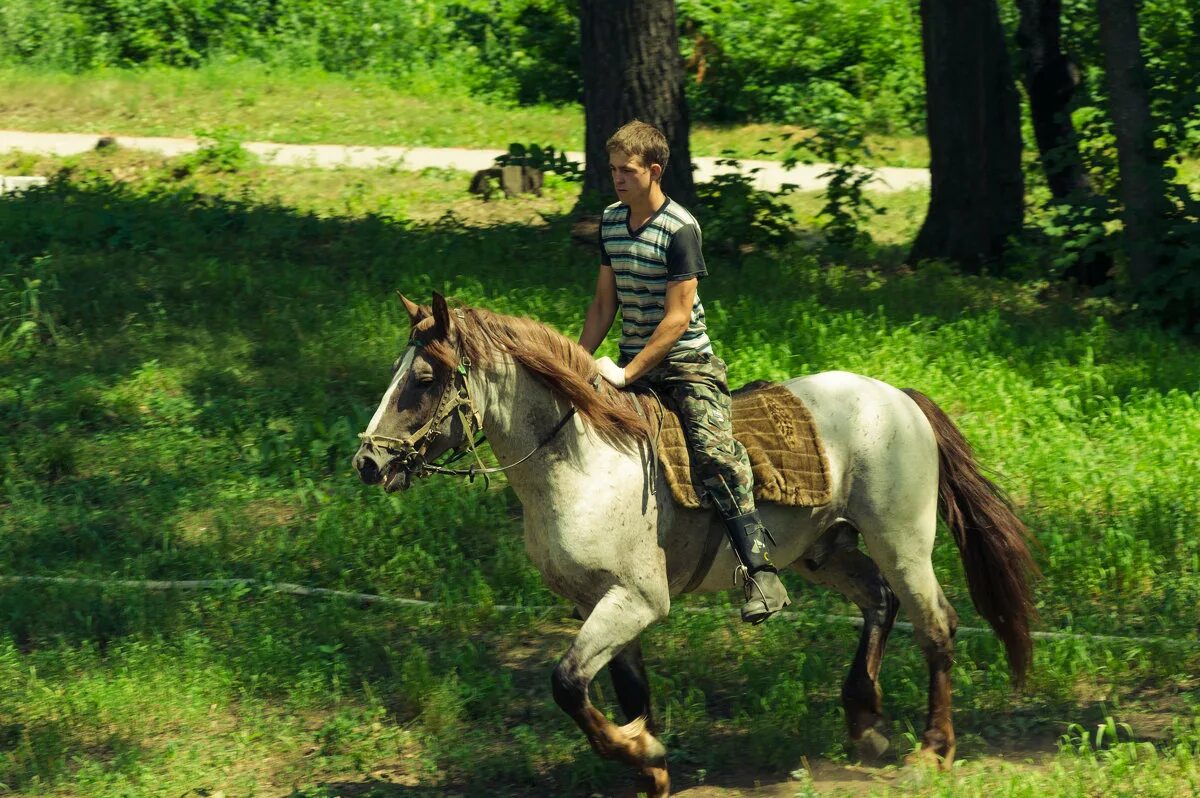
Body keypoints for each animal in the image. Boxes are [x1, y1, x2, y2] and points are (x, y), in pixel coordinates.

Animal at [350, 294, 1036, 796]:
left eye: (424, 378)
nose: (367, 464)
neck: (581, 460)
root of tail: (899, 399)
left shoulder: (637, 600)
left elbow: (567, 682)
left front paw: (644, 749)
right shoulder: (600, 603)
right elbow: (626, 691)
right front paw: (649, 768)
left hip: (901, 543)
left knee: (937, 624)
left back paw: (934, 750)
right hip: (826, 550)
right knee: (878, 603)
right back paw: (867, 726)